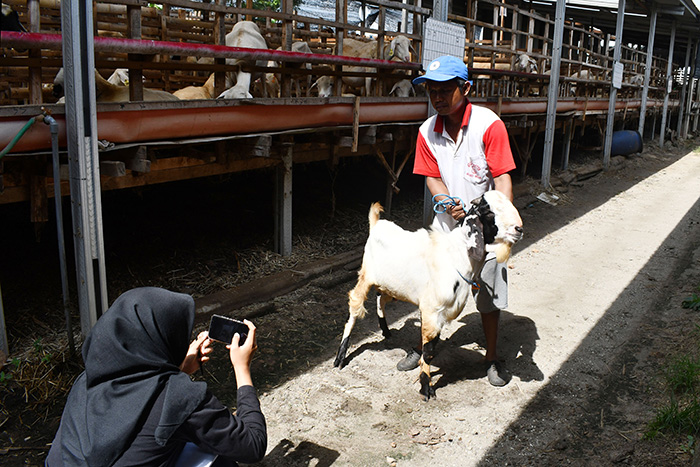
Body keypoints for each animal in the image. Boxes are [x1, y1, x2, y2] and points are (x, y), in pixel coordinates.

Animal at [334, 192, 524, 400]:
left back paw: (385, 330)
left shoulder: (439, 313)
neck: (456, 255)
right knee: (355, 306)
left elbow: (431, 349)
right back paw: (340, 357)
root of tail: (376, 224)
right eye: (489, 212)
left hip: (392, 285)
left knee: (381, 298)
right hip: (366, 276)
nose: (519, 229)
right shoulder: (431, 310)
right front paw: (426, 387)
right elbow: (428, 352)